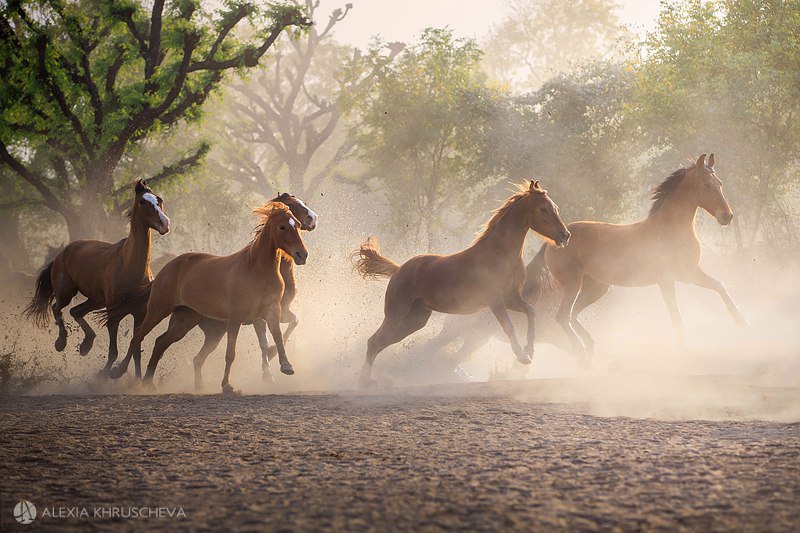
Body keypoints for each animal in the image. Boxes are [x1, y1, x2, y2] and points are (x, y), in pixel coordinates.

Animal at [24, 181, 167, 376]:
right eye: (142, 201)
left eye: (159, 200)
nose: (164, 223)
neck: (130, 267)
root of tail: (62, 253)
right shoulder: (113, 313)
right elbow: (113, 351)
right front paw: (105, 374)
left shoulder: (139, 313)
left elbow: (136, 348)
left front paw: (134, 378)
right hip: (66, 292)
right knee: (56, 308)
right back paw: (61, 342)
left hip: (96, 300)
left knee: (75, 311)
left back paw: (86, 344)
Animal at [104, 193, 318, 384]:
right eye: (282, 226)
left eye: (297, 225)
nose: (302, 255)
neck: (256, 268)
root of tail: (166, 268)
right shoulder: (245, 317)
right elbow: (252, 346)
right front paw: (250, 378)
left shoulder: (272, 311)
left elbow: (281, 334)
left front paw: (285, 365)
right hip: (158, 309)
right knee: (138, 336)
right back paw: (118, 372)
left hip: (187, 320)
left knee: (162, 343)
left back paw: (151, 382)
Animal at [354, 180, 572, 386]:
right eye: (543, 209)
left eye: (556, 208)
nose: (565, 235)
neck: (501, 254)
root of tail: (399, 270)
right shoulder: (495, 300)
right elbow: (508, 326)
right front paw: (523, 356)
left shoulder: (512, 297)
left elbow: (531, 312)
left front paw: (530, 351)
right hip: (396, 315)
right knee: (374, 341)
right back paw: (366, 382)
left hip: (415, 320)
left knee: (382, 342)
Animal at [536, 152, 748, 358]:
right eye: (706, 185)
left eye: (720, 183)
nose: (727, 216)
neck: (671, 230)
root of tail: (554, 241)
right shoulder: (667, 279)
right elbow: (676, 314)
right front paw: (684, 349)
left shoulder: (690, 273)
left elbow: (719, 286)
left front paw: (741, 321)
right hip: (573, 284)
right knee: (563, 317)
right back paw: (580, 351)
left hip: (596, 287)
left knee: (572, 315)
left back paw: (589, 345)